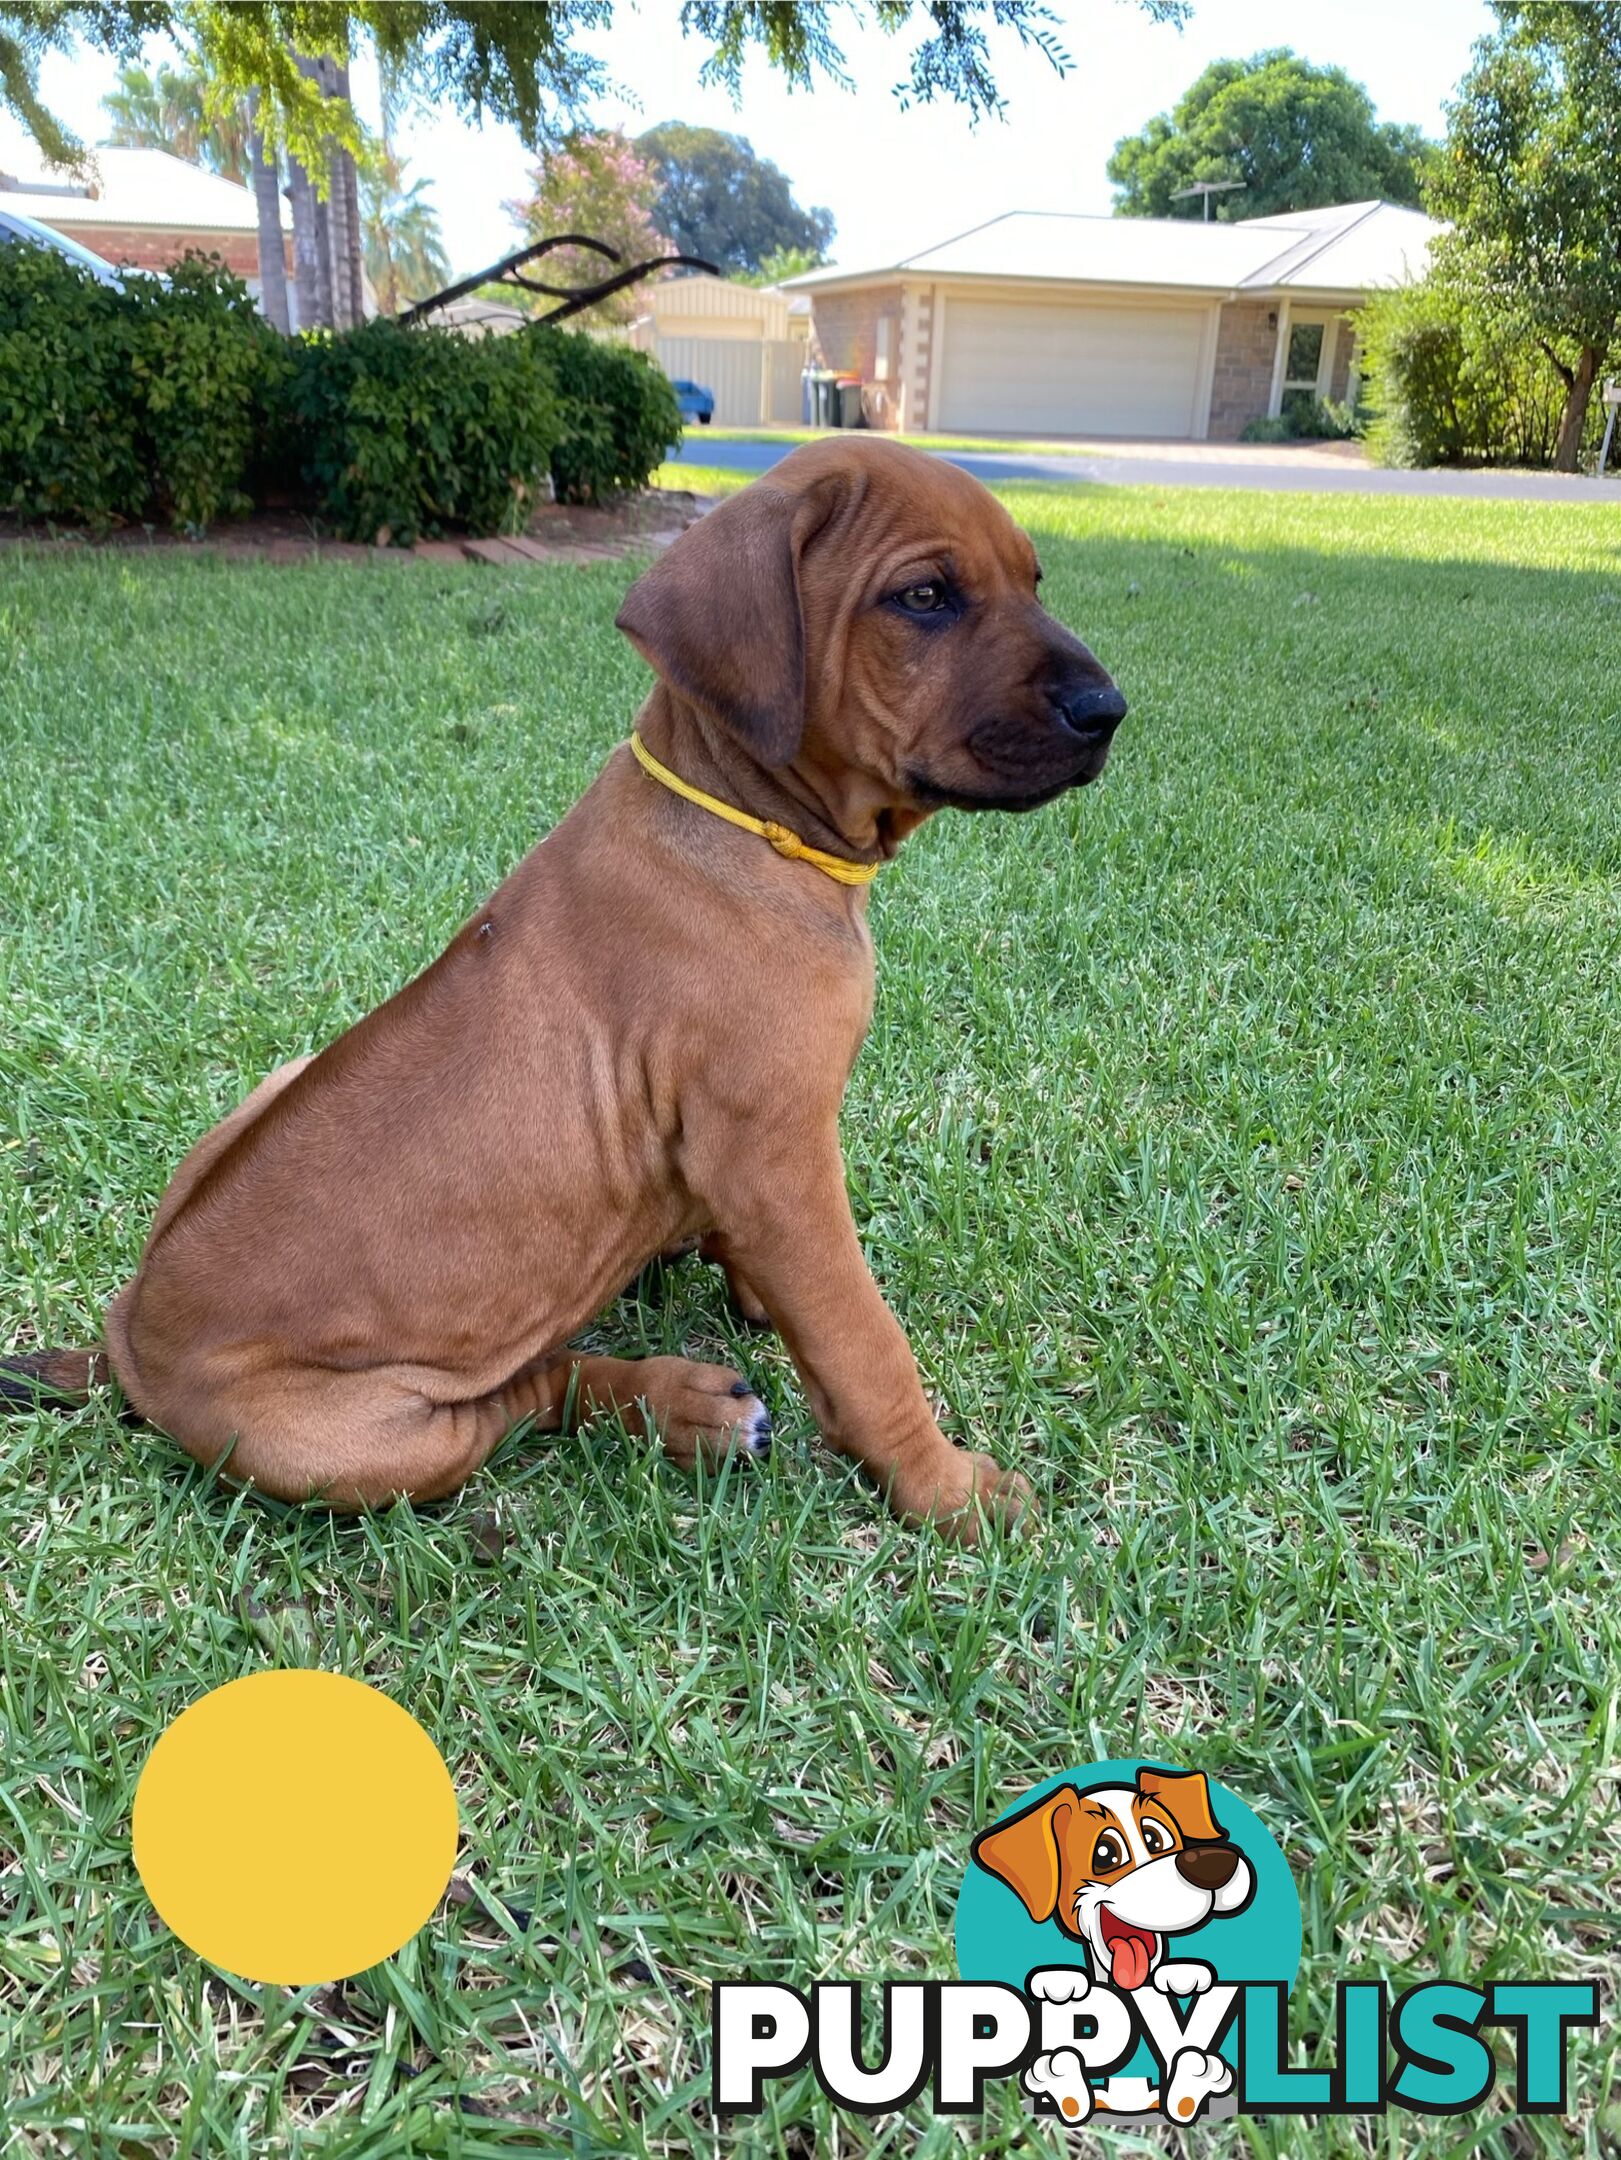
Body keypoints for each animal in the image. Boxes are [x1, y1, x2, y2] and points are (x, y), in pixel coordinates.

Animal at [9, 438, 1132, 1546]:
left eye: (1033, 581)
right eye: (925, 596)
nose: (1107, 712)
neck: (743, 820)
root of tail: (127, 1334)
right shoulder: (776, 1152)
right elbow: (864, 1341)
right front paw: (945, 1489)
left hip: (275, 1081)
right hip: (344, 1440)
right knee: (519, 1397)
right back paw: (680, 1406)